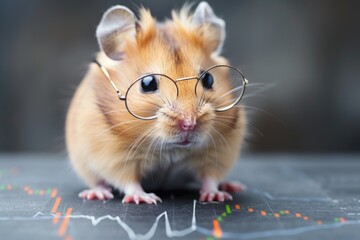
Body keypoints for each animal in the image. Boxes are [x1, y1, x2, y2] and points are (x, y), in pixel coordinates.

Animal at [65, 1, 245, 204]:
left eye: (208, 79)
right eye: (147, 83)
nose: (189, 124)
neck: (171, 149)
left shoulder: (218, 154)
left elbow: (210, 177)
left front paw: (216, 196)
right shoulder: (114, 158)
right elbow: (129, 181)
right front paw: (145, 199)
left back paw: (231, 186)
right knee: (98, 182)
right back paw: (96, 193)